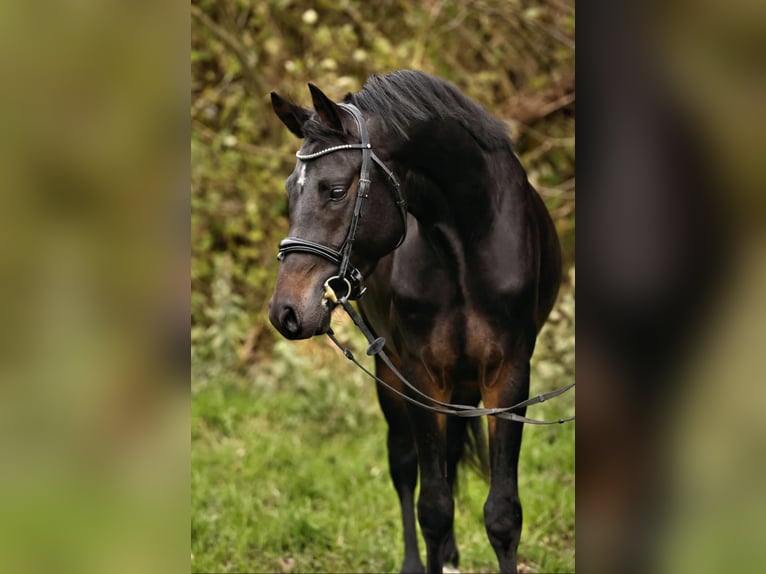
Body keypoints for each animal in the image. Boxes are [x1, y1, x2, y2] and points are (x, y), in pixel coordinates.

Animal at [270, 71, 564, 574]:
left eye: (334, 190)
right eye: (292, 191)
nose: (285, 311)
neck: (467, 243)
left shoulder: (508, 376)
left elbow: (503, 514)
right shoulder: (421, 376)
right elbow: (434, 507)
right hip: (392, 375)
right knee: (406, 466)